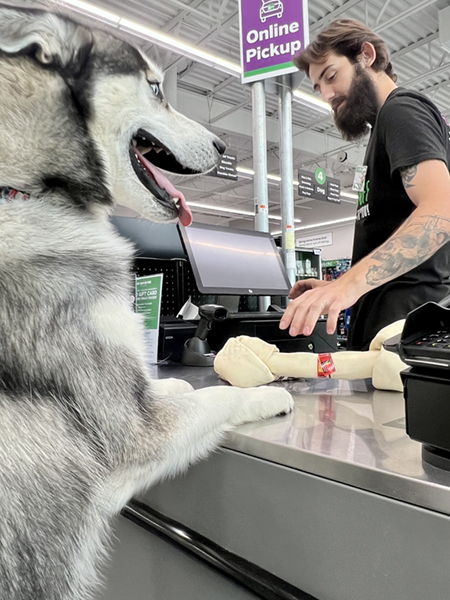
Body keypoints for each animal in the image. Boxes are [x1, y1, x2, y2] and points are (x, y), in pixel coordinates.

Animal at [0, 4, 293, 599]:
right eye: (156, 88)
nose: (225, 148)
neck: (30, 189)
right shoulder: (134, 433)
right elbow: (218, 397)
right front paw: (267, 393)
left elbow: (177, 386)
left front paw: (179, 381)